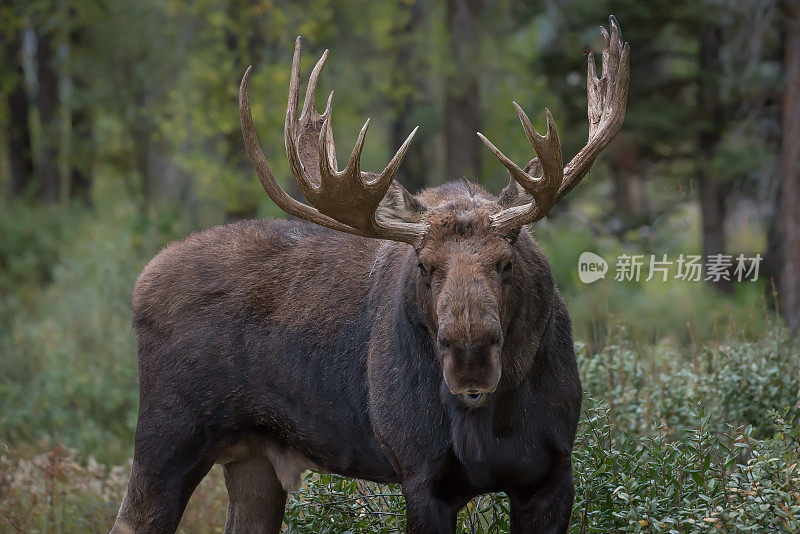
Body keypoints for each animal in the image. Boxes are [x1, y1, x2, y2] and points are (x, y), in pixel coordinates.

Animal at [108, 14, 632, 532]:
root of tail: (142, 282)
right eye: (424, 265)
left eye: (506, 262)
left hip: (254, 457)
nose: (470, 357)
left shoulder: (551, 473)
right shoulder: (422, 476)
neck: (492, 421)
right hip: (167, 440)